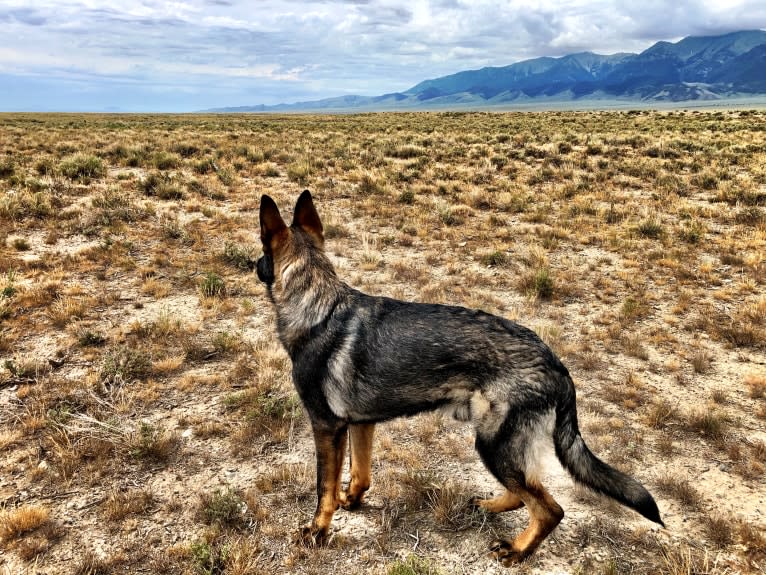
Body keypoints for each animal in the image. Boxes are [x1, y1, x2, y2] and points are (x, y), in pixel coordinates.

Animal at [258, 191, 664, 564]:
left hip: (494, 445)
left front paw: (317, 531)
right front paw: (352, 500)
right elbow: (361, 474)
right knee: (524, 494)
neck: (319, 306)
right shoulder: (360, 424)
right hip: (499, 447)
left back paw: (517, 550)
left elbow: (323, 489)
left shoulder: (326, 427)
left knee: (549, 508)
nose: (252, 263)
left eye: (261, 248)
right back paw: (488, 506)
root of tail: (556, 364)